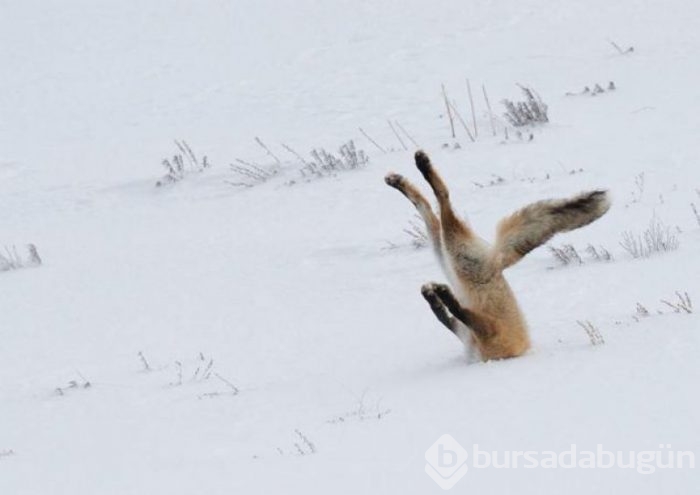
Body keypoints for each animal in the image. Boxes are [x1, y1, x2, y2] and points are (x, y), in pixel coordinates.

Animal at [386, 149, 608, 362]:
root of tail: (497, 261)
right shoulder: (472, 331)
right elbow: (446, 315)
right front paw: (435, 297)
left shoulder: (487, 332)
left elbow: (456, 312)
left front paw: (441, 296)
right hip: (446, 254)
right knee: (428, 208)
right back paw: (401, 180)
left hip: (454, 253)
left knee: (442, 199)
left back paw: (421, 167)